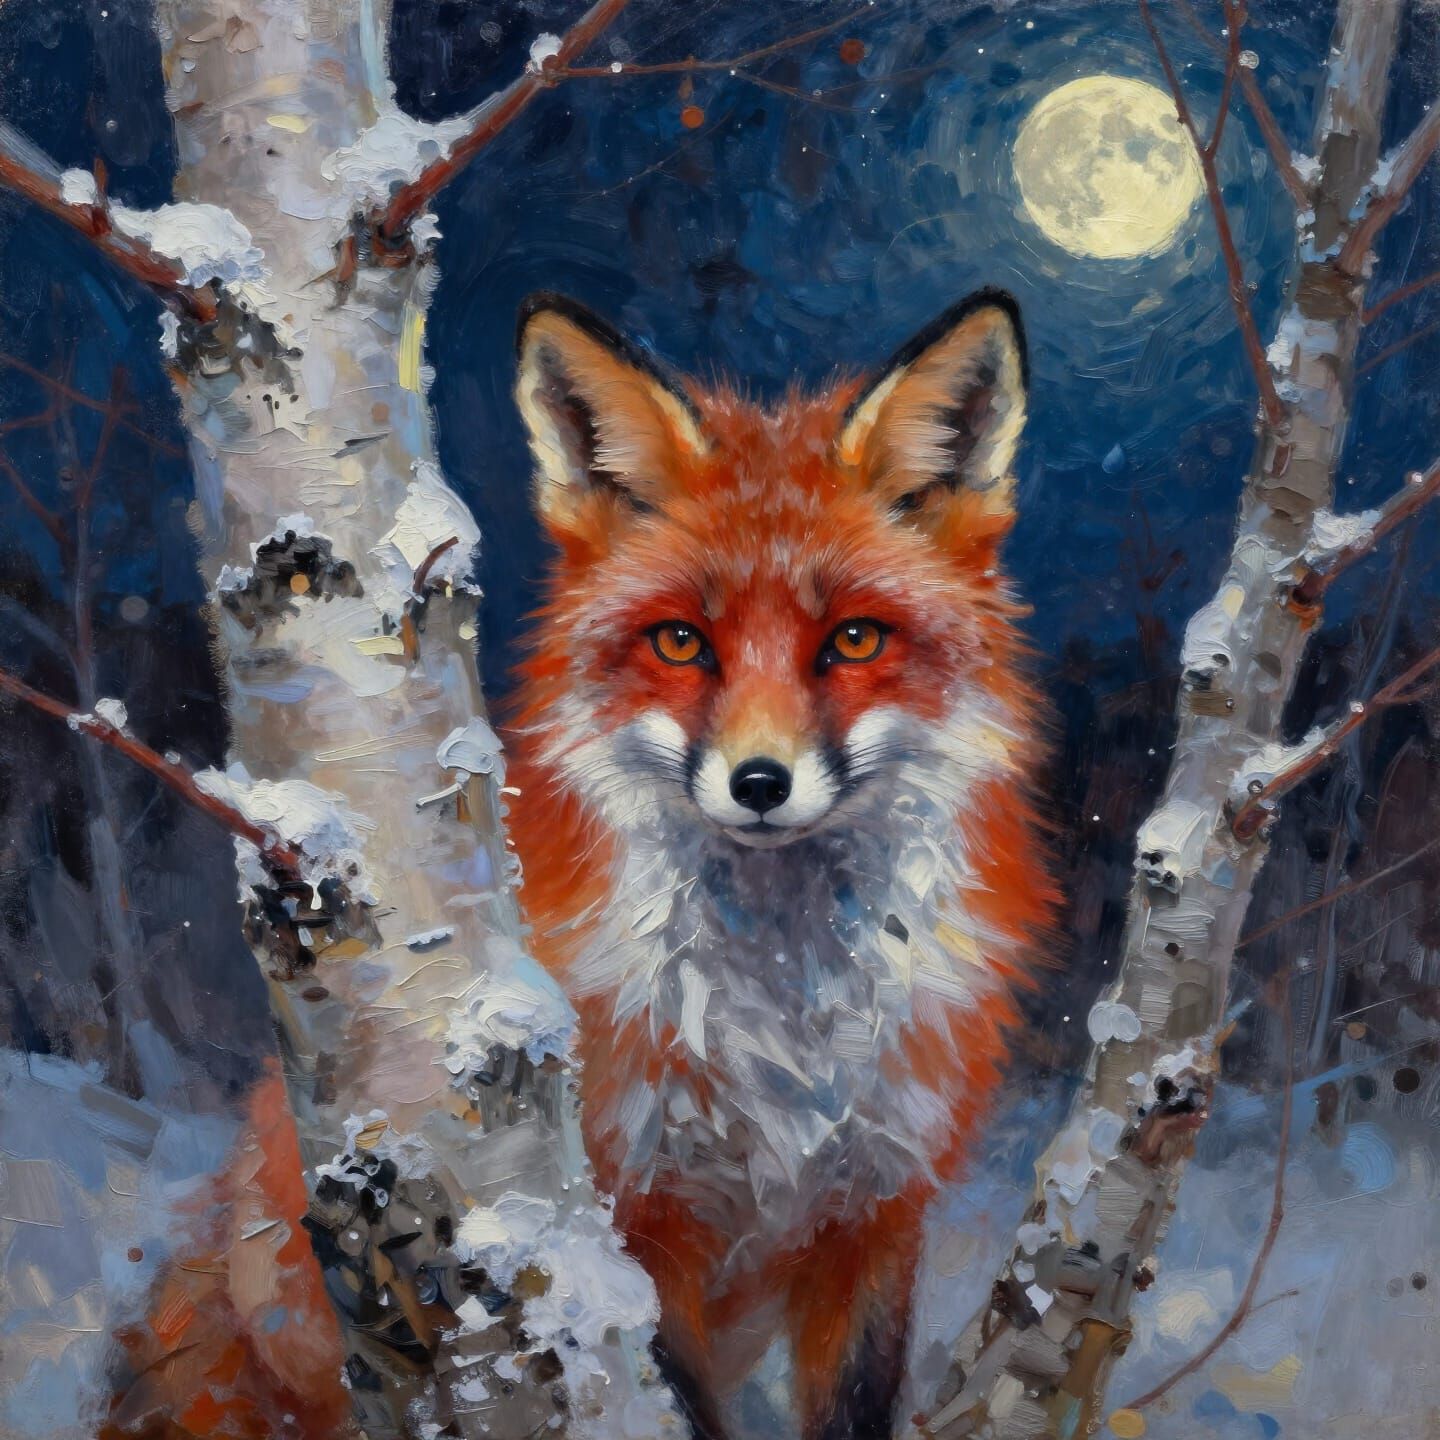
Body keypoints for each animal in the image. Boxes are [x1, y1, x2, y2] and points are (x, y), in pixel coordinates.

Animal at [506, 290, 1057, 1440]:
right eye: (681, 642)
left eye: (853, 640)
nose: (760, 782)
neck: (781, 1026)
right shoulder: (639, 1219)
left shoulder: (875, 1210)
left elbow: (853, 1405)